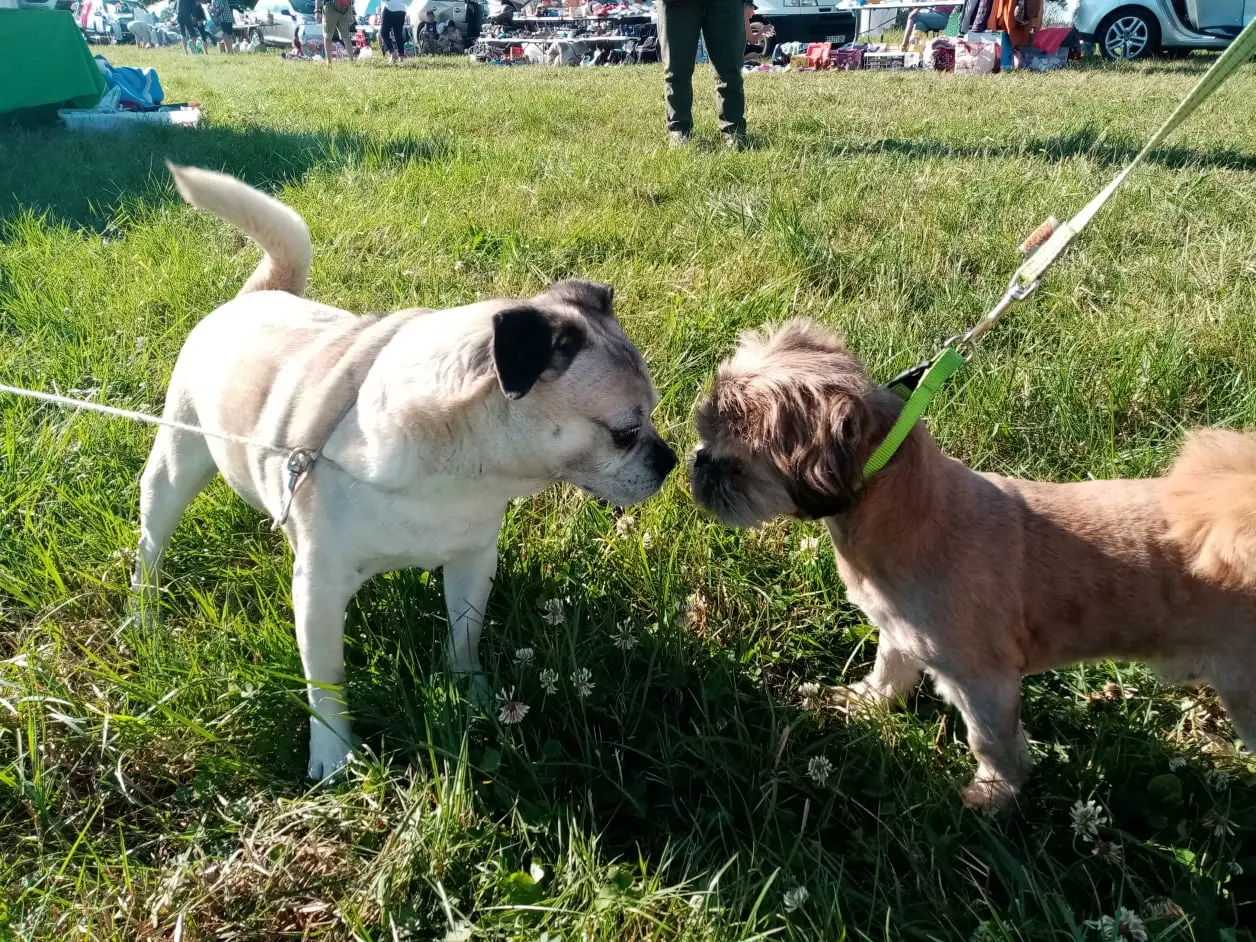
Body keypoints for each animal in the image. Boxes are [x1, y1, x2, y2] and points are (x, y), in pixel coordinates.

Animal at [131, 168, 673, 783]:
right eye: (625, 432)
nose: (669, 461)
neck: (462, 459)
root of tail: (261, 294)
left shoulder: (472, 560)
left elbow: (464, 636)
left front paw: (472, 695)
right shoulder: (319, 589)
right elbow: (326, 683)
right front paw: (333, 754)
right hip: (176, 462)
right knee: (151, 543)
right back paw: (144, 613)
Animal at [688, 324, 1256, 813]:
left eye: (733, 462)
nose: (697, 462)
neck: (914, 514)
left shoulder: (983, 681)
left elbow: (992, 741)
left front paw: (994, 793)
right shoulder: (899, 632)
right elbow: (889, 671)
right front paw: (865, 702)